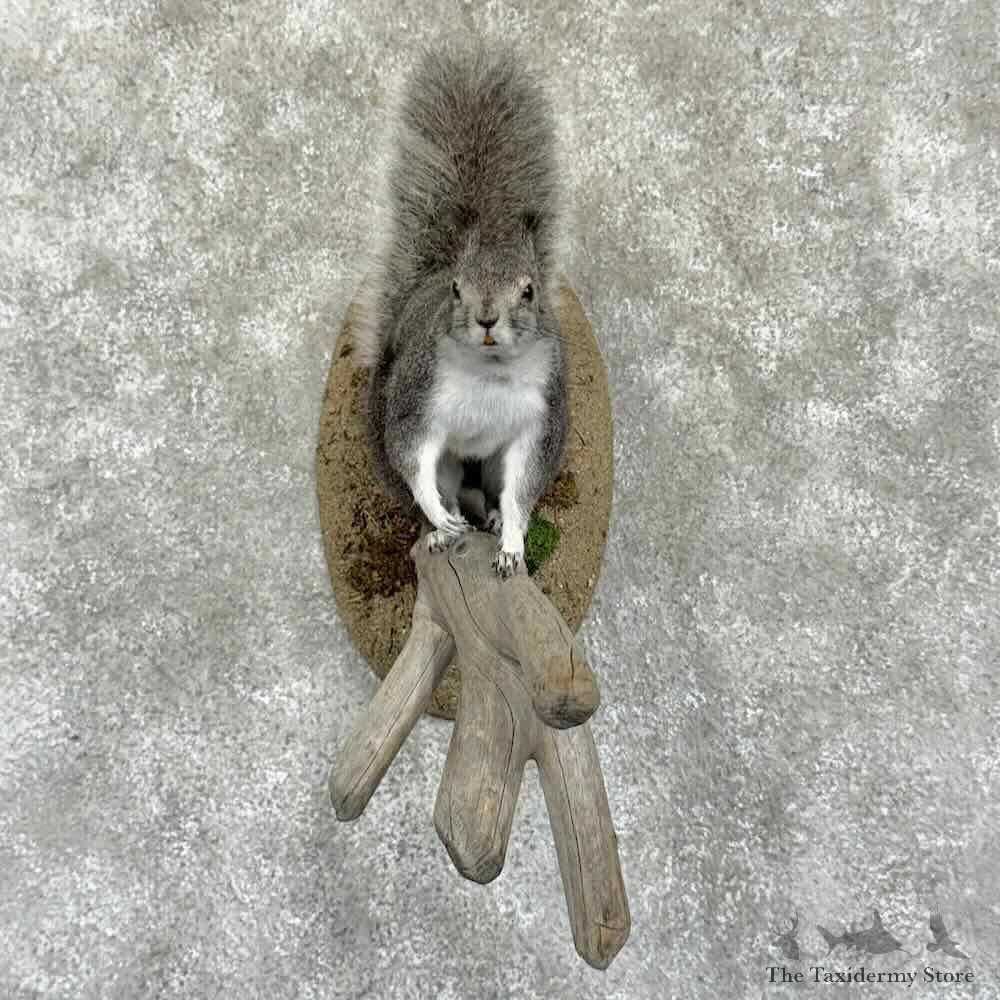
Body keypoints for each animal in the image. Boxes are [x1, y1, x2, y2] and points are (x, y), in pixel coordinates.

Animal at [354, 42, 569, 578]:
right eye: (456, 288)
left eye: (529, 291)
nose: (486, 318)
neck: (489, 369)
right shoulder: (417, 398)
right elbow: (413, 457)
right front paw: (438, 516)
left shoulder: (539, 421)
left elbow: (522, 491)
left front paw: (511, 542)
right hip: (447, 459)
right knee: (446, 486)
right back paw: (444, 529)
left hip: (489, 464)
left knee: (492, 491)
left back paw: (490, 520)